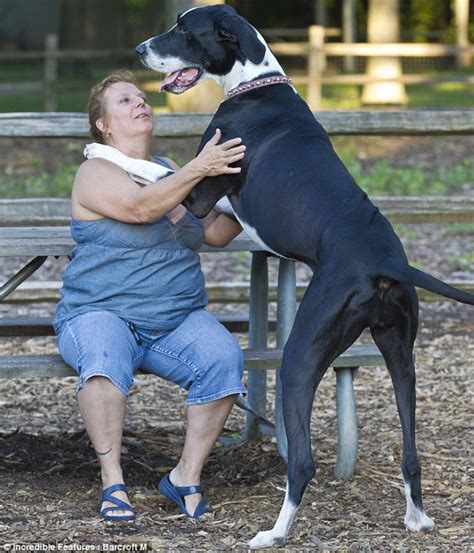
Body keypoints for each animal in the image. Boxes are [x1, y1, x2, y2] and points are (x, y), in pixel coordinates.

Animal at [135, 6, 474, 544]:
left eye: (185, 30)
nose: (139, 50)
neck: (253, 83)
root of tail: (386, 263)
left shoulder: (202, 193)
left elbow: (151, 170)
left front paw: (96, 152)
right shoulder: (219, 209)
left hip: (298, 359)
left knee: (303, 463)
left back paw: (274, 533)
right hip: (401, 354)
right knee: (411, 451)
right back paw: (416, 517)